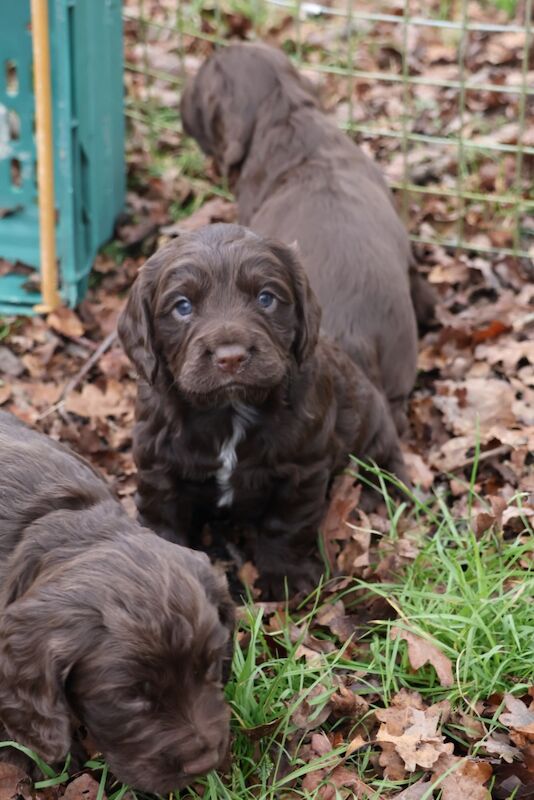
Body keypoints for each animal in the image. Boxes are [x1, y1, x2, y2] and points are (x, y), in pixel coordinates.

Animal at [119, 222, 408, 596]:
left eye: (265, 298)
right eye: (182, 306)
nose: (230, 357)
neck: (229, 410)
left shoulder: (302, 468)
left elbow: (284, 524)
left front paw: (285, 579)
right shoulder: (158, 464)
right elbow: (162, 520)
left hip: (371, 425)